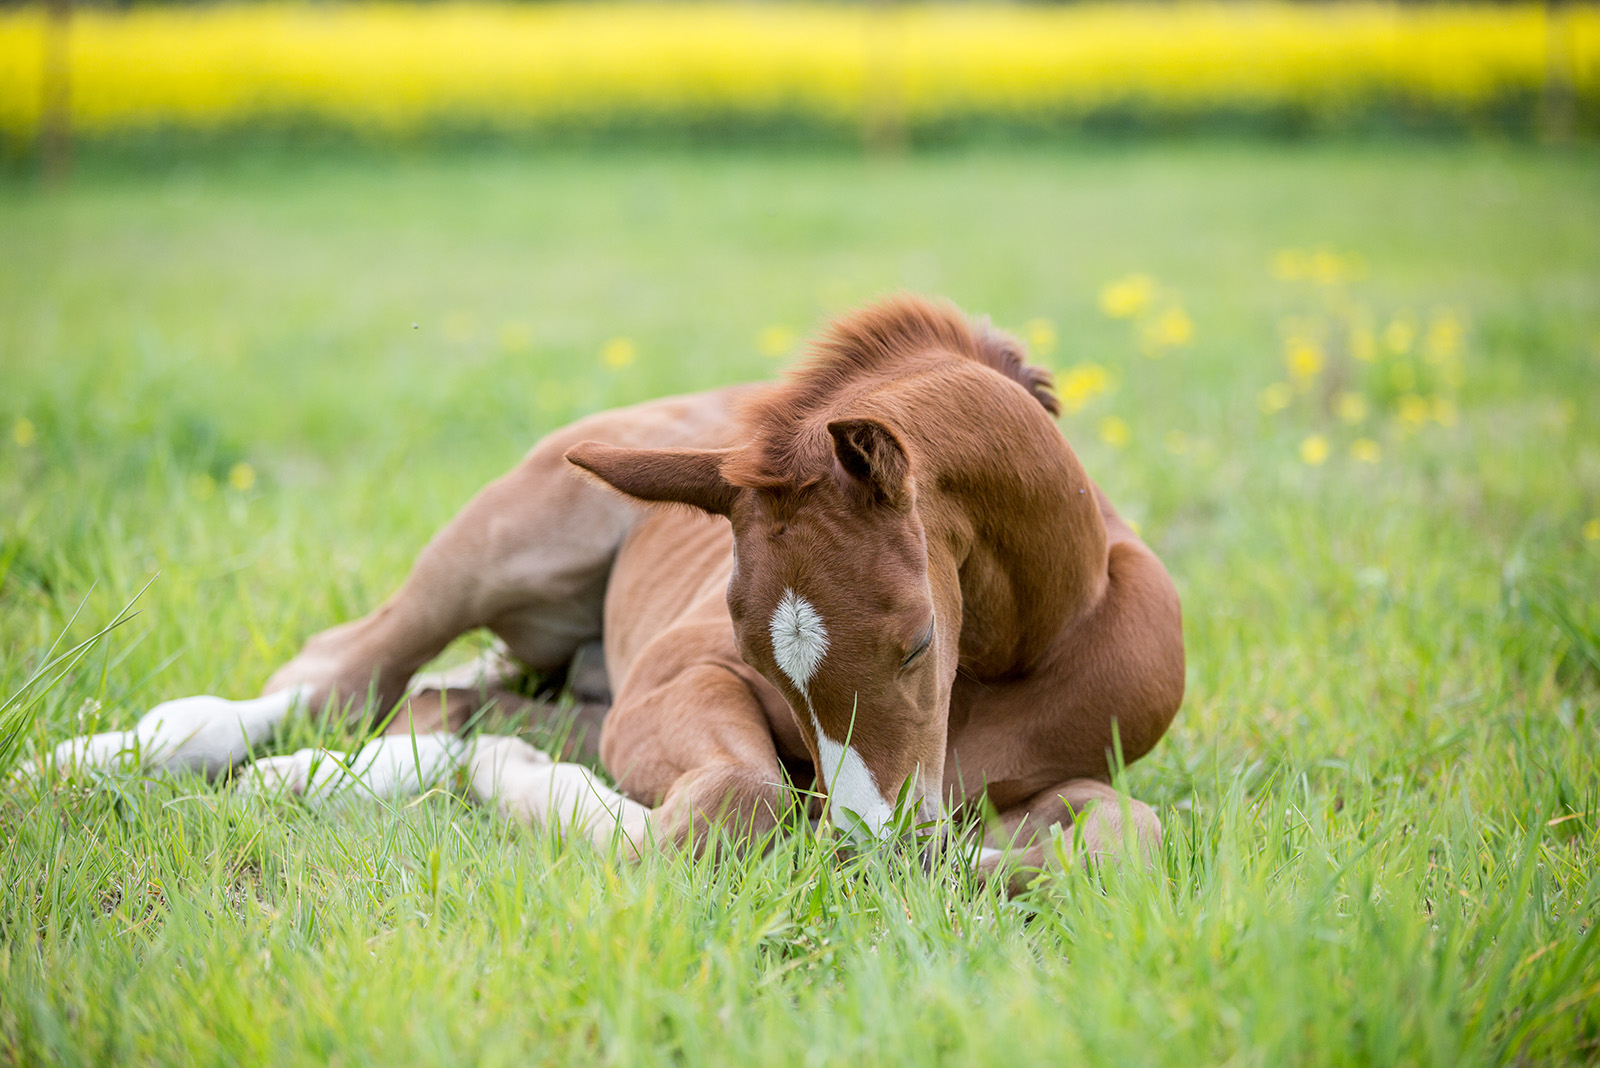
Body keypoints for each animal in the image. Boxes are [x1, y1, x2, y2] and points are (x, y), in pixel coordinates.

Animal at [50, 294, 1184, 882]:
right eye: (752, 648)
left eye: (915, 643)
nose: (865, 841)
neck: (1043, 637)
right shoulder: (677, 684)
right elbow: (735, 802)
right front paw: (518, 784)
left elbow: (1126, 843)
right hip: (505, 546)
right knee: (347, 670)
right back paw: (95, 760)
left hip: (561, 664)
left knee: (441, 701)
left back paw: (326, 777)